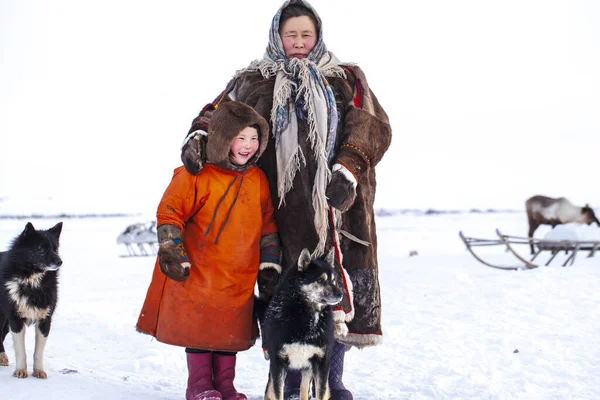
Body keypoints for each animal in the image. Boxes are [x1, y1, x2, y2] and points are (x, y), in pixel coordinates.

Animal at [0, 222, 63, 378]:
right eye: (40, 248)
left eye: (55, 248)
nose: (60, 261)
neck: (31, 282)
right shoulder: (15, 319)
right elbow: (21, 351)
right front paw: (21, 371)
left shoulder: (45, 320)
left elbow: (38, 352)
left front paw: (39, 371)